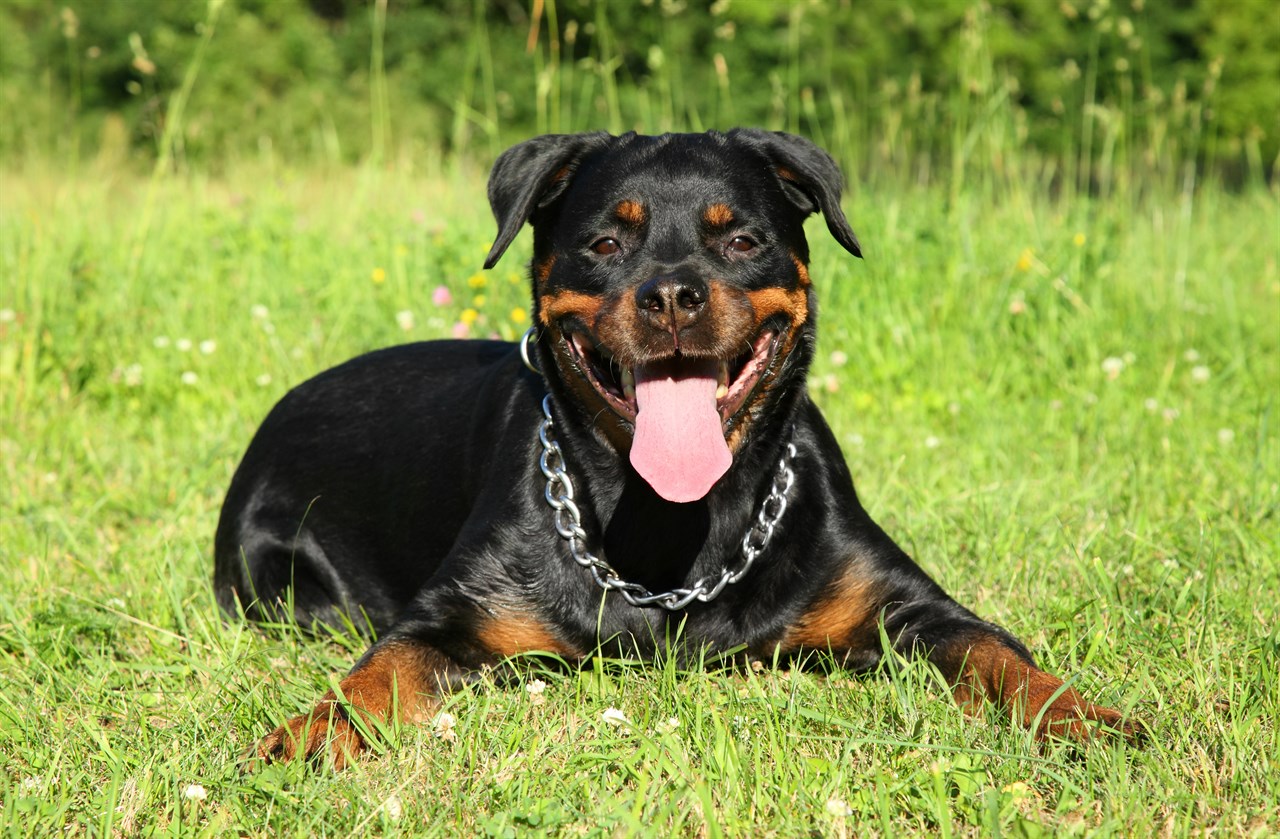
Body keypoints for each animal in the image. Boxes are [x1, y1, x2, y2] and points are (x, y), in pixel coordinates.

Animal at [212, 131, 1141, 768]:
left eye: (741, 239)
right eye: (605, 243)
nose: (670, 294)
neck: (672, 520)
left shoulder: (908, 604)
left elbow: (999, 655)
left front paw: (1086, 718)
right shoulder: (448, 615)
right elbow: (376, 673)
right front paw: (307, 736)